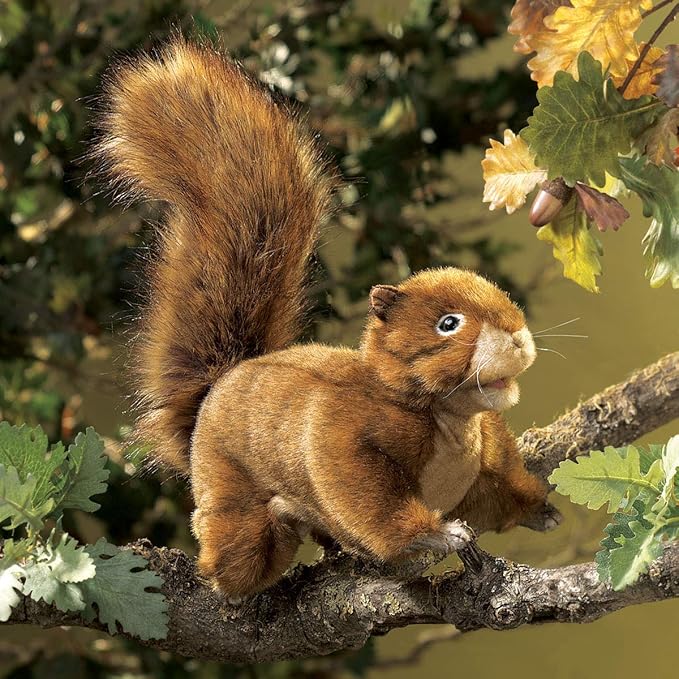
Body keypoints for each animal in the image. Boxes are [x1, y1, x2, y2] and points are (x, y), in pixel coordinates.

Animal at [96, 39, 562, 598]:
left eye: (500, 292)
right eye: (447, 323)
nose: (517, 337)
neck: (450, 421)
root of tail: (217, 385)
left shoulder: (487, 458)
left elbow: (501, 493)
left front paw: (540, 510)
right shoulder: (346, 434)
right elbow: (365, 498)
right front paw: (436, 536)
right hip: (227, 489)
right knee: (235, 559)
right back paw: (250, 544)